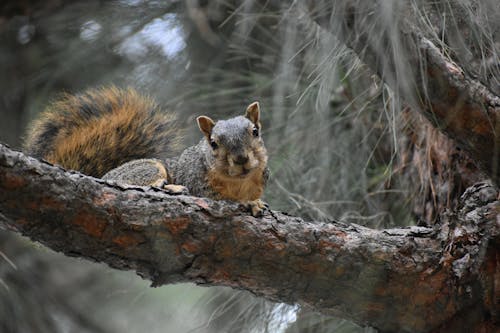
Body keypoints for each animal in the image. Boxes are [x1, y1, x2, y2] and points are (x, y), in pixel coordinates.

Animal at [23, 87, 268, 214]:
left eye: (255, 131)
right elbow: (220, 199)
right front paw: (248, 203)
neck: (238, 182)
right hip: (148, 168)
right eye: (214, 143)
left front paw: (254, 201)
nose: (241, 159)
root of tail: (101, 176)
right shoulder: (199, 183)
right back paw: (172, 187)